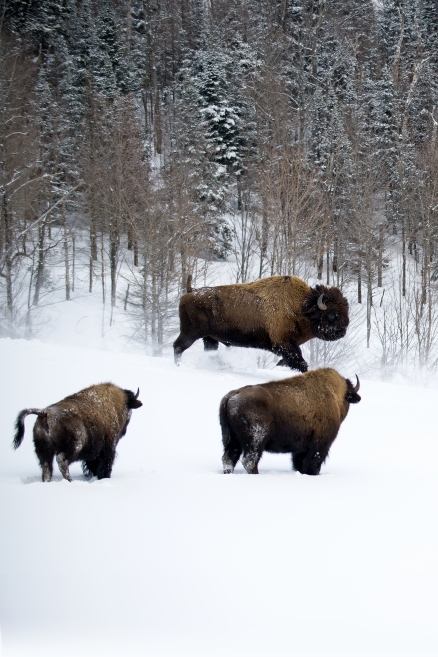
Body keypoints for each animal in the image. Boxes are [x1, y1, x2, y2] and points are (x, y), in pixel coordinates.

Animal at [12, 380, 143, 482]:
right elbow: (105, 463)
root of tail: (45, 413)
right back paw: (69, 480)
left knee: (47, 468)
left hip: (43, 450)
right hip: (74, 447)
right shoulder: (108, 447)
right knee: (61, 460)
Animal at [174, 274, 350, 372]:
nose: (343, 331)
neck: (302, 306)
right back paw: (178, 366)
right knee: (178, 346)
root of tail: (190, 291)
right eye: (332, 315)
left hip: (210, 338)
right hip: (191, 332)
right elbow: (299, 362)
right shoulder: (284, 344)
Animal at [219, 366, 360, 474]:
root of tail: (231, 395)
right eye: (348, 399)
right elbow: (313, 461)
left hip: (233, 440)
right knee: (249, 461)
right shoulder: (319, 445)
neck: (335, 395)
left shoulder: (301, 448)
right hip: (255, 440)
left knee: (229, 458)